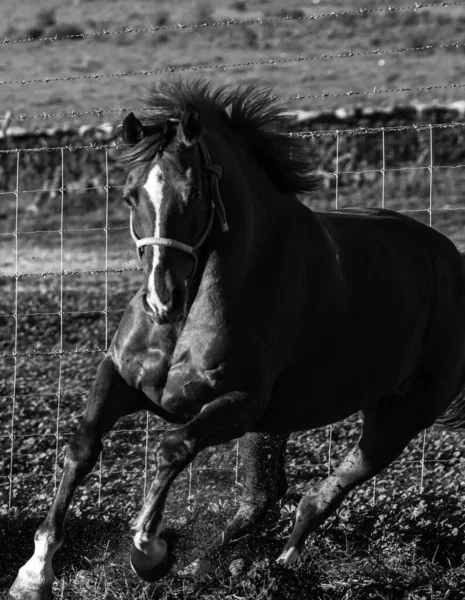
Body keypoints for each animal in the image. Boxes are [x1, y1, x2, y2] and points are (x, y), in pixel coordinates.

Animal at [8, 81, 465, 600]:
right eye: (128, 196)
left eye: (193, 194)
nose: (161, 299)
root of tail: (452, 260)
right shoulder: (121, 378)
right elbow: (82, 447)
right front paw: (33, 573)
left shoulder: (239, 404)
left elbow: (173, 448)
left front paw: (149, 551)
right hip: (279, 422)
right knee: (265, 499)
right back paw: (206, 565)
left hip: (396, 419)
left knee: (319, 495)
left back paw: (273, 567)